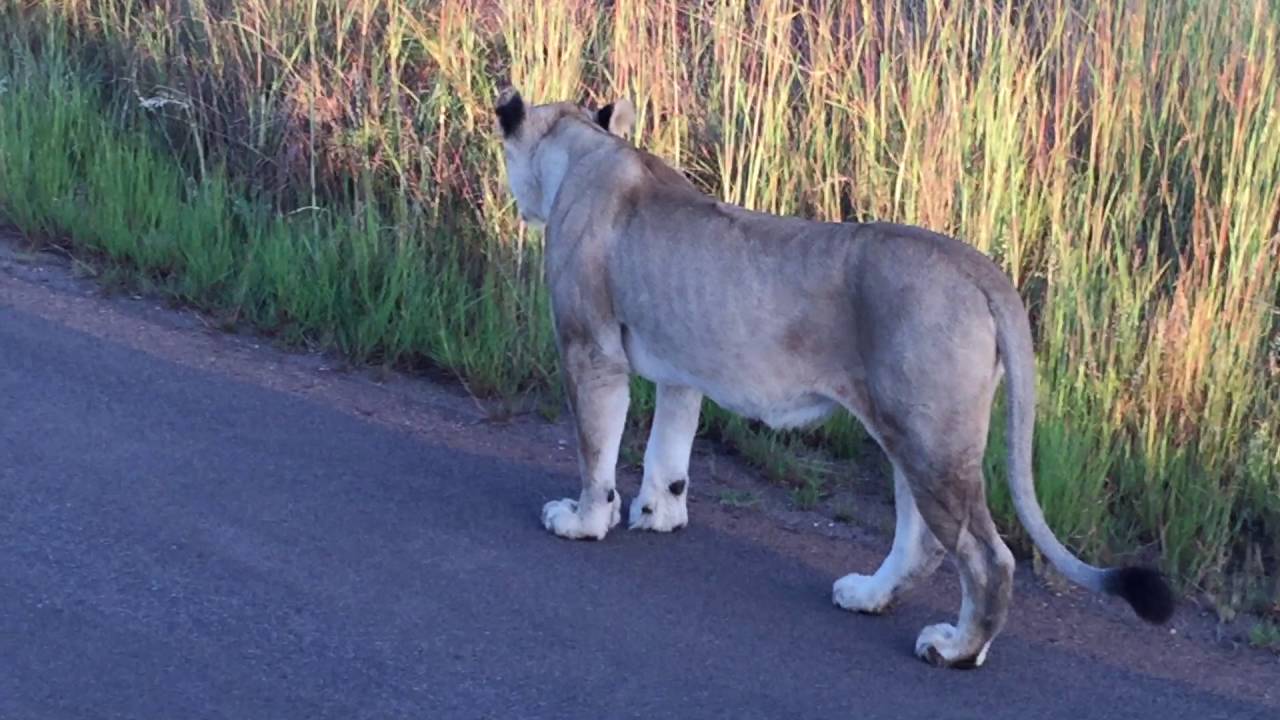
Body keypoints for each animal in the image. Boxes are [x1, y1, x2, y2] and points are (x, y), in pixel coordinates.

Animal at [492, 87, 1174, 668]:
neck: (587, 148)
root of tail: (979, 267)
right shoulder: (683, 365)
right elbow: (670, 447)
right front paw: (660, 513)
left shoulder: (591, 350)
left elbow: (595, 450)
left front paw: (583, 521)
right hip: (911, 431)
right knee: (923, 541)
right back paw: (868, 596)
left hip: (932, 438)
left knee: (988, 558)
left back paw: (955, 649)